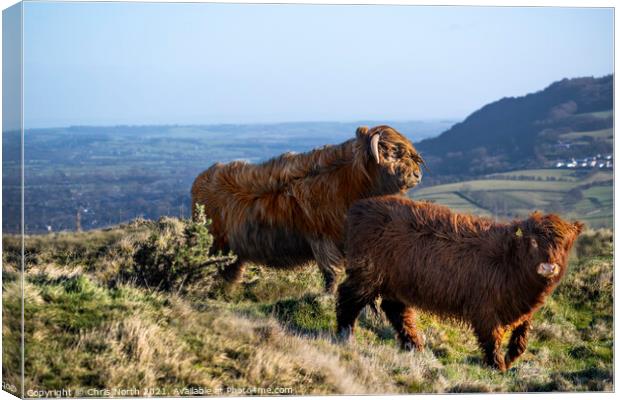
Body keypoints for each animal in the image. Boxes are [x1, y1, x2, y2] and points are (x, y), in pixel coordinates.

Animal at [193, 123, 426, 292]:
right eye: (394, 152)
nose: (417, 175)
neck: (351, 183)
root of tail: (199, 181)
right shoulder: (322, 239)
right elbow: (332, 273)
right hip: (215, 243)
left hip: (234, 252)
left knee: (230, 272)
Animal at [336, 195, 584, 370]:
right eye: (533, 242)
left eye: (565, 245)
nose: (548, 267)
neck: (510, 264)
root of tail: (359, 207)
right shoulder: (485, 309)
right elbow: (492, 339)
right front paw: (497, 367)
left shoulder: (521, 309)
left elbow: (521, 339)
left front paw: (509, 359)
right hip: (367, 273)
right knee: (348, 297)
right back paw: (344, 335)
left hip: (396, 281)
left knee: (396, 309)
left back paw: (415, 346)